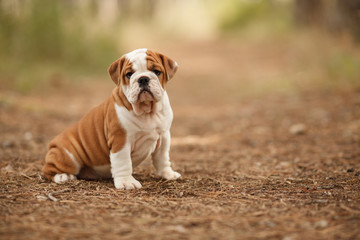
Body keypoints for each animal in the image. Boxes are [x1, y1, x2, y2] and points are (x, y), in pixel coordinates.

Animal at [42, 48, 181, 189]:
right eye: (129, 74)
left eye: (157, 72)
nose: (143, 79)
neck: (147, 111)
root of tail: (52, 144)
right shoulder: (121, 140)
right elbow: (123, 162)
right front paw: (126, 182)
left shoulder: (164, 136)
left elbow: (162, 158)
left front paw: (168, 174)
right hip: (68, 155)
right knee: (48, 169)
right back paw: (62, 176)